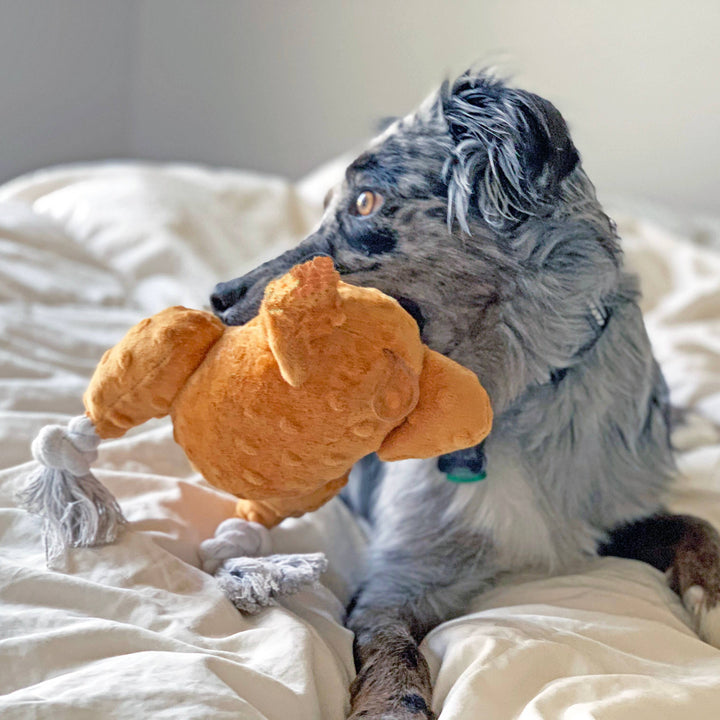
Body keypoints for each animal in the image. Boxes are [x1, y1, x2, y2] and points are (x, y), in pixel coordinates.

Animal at [208, 70, 720, 716]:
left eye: (365, 201)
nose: (217, 296)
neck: (503, 402)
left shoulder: (604, 518)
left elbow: (693, 522)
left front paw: (714, 598)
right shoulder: (397, 580)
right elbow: (395, 655)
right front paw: (390, 705)